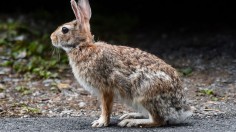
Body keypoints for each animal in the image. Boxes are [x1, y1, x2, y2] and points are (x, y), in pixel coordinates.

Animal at [50, 0, 193, 128]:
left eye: (64, 30)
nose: (51, 38)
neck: (83, 46)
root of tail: (179, 111)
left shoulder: (105, 88)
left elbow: (106, 107)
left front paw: (101, 123)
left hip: (145, 93)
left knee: (158, 120)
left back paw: (131, 122)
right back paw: (131, 115)